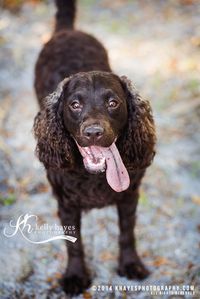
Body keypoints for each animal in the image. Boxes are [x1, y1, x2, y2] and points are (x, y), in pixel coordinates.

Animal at [33, 0, 156, 296]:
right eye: (75, 104)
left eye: (113, 103)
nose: (93, 132)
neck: (95, 177)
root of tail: (68, 30)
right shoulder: (66, 204)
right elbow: (74, 243)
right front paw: (76, 275)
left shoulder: (129, 196)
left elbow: (127, 234)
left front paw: (131, 265)